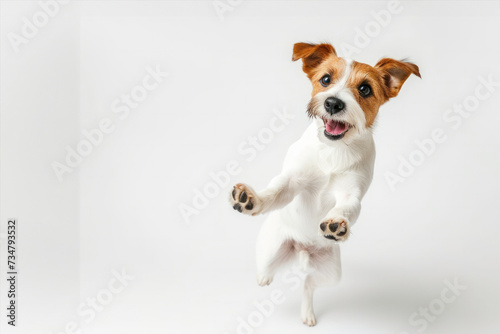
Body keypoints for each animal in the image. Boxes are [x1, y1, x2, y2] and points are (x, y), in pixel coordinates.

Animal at [230, 42, 418, 326]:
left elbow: (347, 208)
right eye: (326, 80)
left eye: (365, 89)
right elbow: (276, 190)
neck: (334, 151)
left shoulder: (352, 193)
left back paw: (307, 312)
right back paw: (265, 276)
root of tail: (302, 247)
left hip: (331, 273)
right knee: (266, 271)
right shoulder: (293, 182)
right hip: (269, 252)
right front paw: (251, 199)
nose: (333, 102)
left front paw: (336, 223)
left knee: (308, 283)